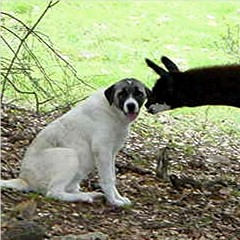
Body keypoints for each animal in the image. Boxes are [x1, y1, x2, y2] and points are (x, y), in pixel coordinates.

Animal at [0, 79, 150, 206]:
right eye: (122, 94)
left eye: (138, 93)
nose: (131, 106)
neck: (112, 111)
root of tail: (24, 179)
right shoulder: (102, 151)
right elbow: (108, 179)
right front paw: (113, 201)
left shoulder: (111, 154)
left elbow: (113, 177)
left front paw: (118, 198)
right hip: (69, 155)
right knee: (54, 192)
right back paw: (83, 197)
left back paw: (89, 194)